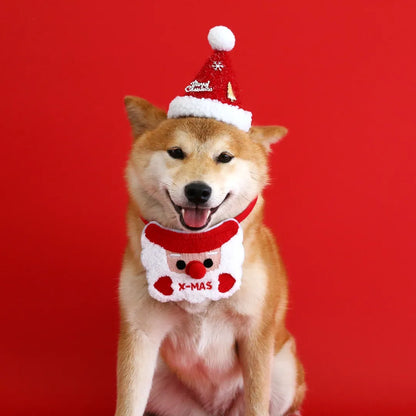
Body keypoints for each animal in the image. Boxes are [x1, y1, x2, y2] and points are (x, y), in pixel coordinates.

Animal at [115, 25, 304, 416]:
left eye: (225, 157)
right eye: (176, 152)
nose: (198, 191)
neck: (195, 250)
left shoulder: (256, 335)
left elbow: (257, 404)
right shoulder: (139, 335)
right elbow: (126, 405)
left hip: (284, 368)